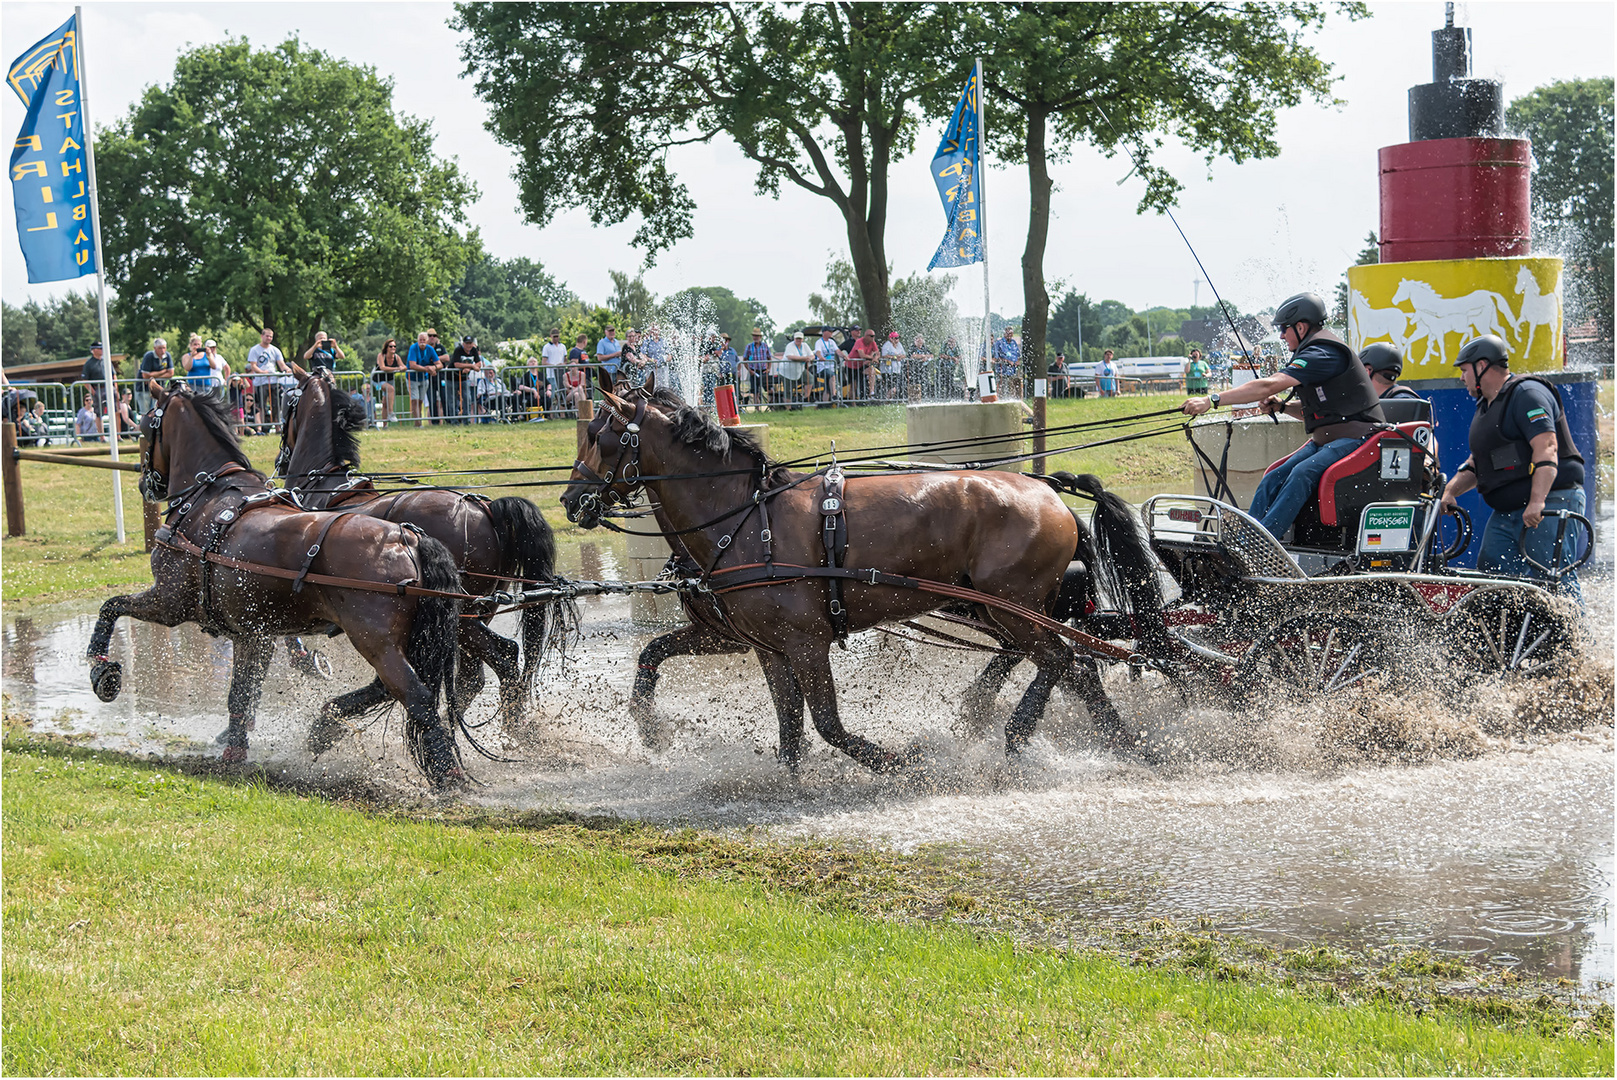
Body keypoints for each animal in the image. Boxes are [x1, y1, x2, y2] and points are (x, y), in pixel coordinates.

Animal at [88, 383, 465, 788]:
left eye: (144, 427)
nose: (145, 483)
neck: (207, 501)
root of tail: (408, 538)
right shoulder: (252, 632)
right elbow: (241, 695)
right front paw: (235, 751)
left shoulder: (170, 602)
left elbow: (110, 606)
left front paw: (102, 672)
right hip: (402, 640)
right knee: (387, 689)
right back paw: (325, 725)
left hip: (375, 641)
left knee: (416, 697)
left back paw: (448, 777)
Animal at [569, 375, 1151, 772]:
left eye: (598, 436)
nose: (570, 500)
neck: (745, 519)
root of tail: (1050, 493)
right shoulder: (761, 644)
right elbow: (786, 729)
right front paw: (659, 732)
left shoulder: (805, 643)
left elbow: (827, 724)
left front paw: (904, 763)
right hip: (1003, 610)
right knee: (1076, 668)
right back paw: (1125, 743)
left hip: (1016, 609)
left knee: (1060, 660)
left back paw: (1016, 734)